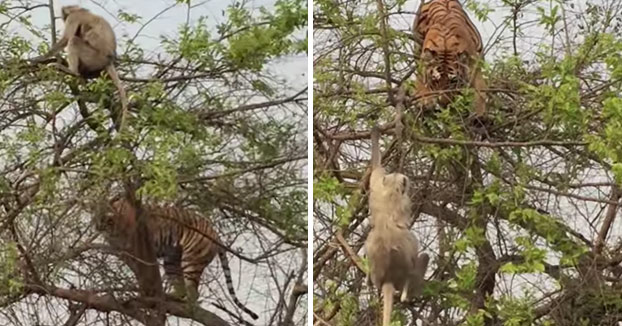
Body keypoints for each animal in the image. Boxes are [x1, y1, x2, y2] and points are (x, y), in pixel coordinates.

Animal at [94, 197, 260, 320]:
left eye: (106, 219)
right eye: (96, 216)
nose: (97, 227)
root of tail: (215, 232)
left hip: (191, 259)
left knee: (193, 293)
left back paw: (186, 306)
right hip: (171, 259)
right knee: (180, 289)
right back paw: (170, 297)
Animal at [366, 126, 428, 326]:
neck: (392, 191)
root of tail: (388, 279)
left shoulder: (378, 186)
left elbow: (376, 170)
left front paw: (375, 132)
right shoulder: (404, 201)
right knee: (423, 257)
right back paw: (406, 295)